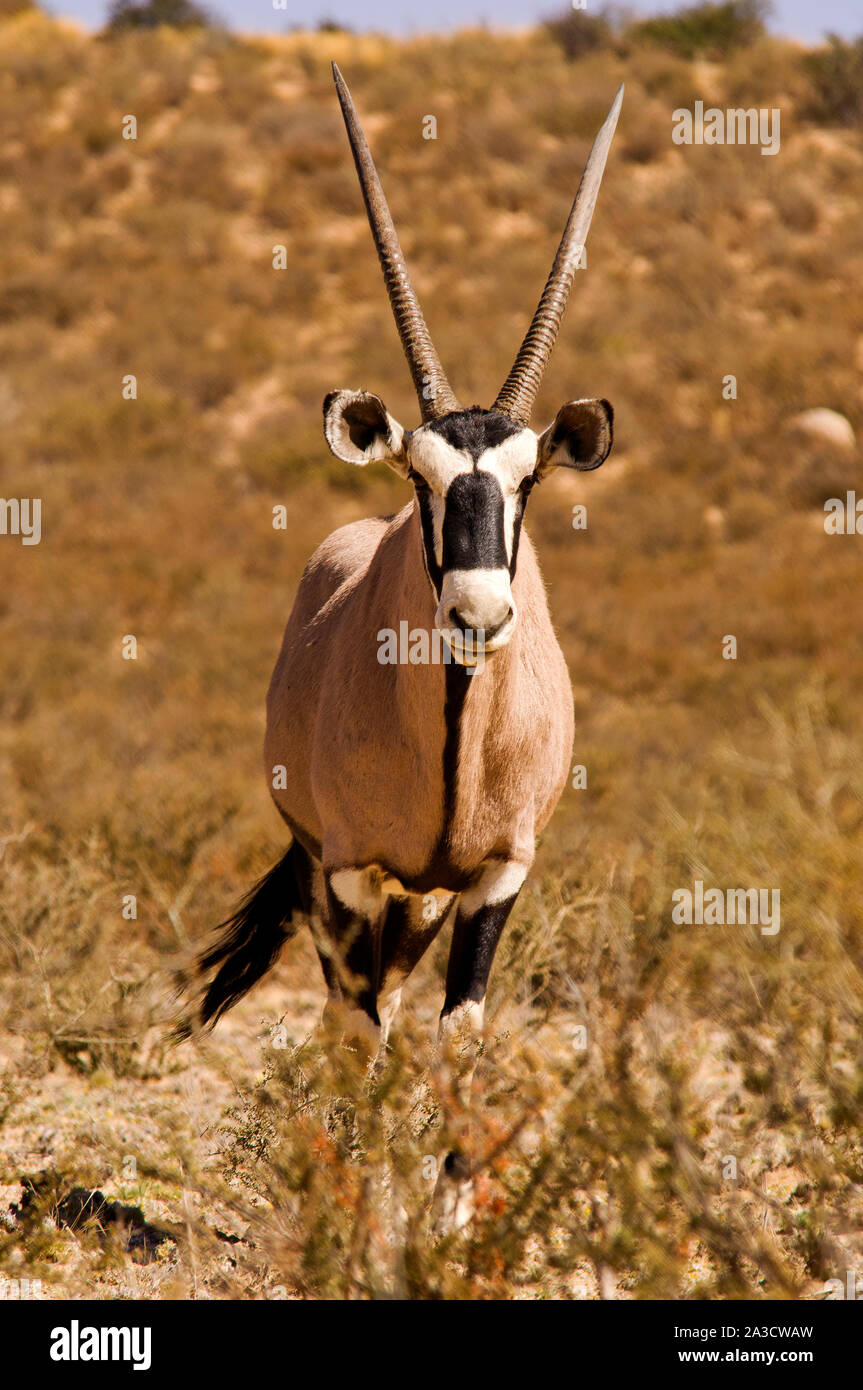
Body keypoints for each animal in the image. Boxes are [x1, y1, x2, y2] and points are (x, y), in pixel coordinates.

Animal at [186, 62, 619, 1217]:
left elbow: (460, 1038)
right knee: (356, 1009)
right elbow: (359, 1037)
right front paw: (360, 1209)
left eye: (527, 480)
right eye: (419, 480)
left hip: (420, 901)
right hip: (341, 875)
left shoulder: (497, 877)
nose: (477, 613)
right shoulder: (344, 873)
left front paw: (450, 1210)